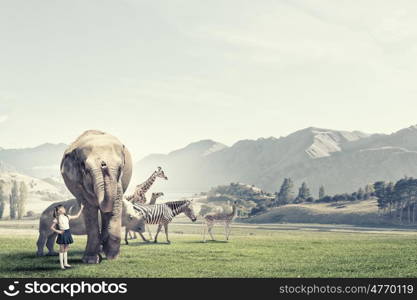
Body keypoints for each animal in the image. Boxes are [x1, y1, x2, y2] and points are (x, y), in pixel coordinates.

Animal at [59, 129, 132, 262]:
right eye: (86, 169)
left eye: (120, 168)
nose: (104, 165)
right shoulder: (79, 184)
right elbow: (89, 210)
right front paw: (90, 260)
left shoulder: (119, 182)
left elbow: (114, 206)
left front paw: (112, 257)